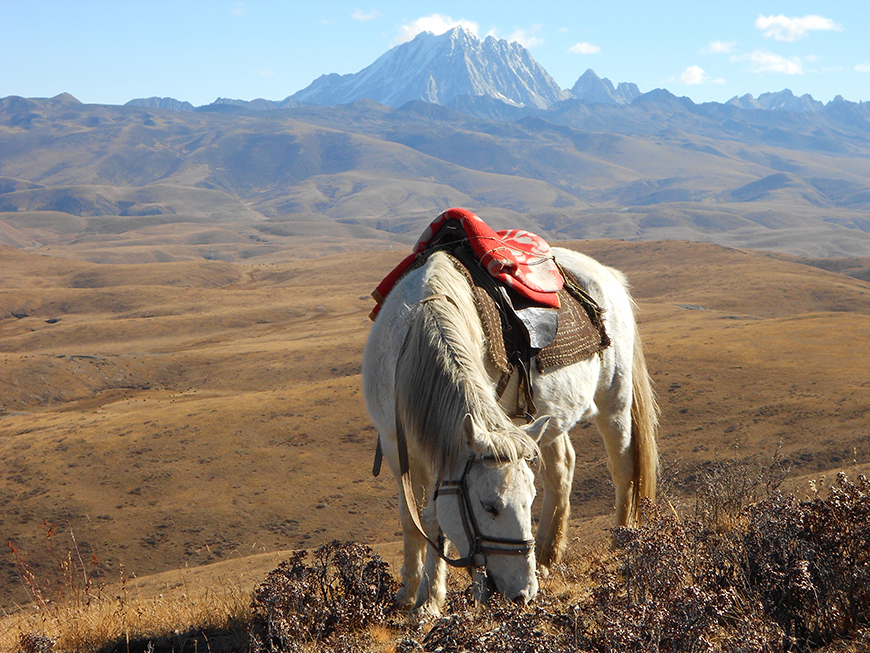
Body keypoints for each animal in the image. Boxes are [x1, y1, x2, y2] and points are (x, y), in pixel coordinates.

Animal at [362, 247, 660, 612]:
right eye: (489, 506)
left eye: (528, 500)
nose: (522, 593)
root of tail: (607, 274)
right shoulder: (395, 445)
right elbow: (412, 517)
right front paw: (410, 593)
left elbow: (432, 519)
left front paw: (429, 601)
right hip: (548, 418)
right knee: (562, 467)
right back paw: (546, 555)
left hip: (613, 401)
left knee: (622, 467)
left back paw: (620, 543)